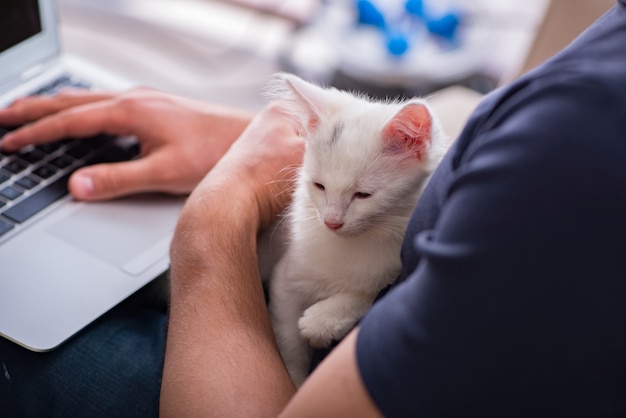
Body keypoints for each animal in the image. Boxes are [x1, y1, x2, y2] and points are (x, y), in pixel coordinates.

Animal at [260, 73, 446, 386]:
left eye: (363, 195)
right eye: (319, 186)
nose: (331, 221)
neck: (361, 239)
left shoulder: (393, 267)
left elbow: (371, 293)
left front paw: (322, 321)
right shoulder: (286, 279)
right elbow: (289, 341)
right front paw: (295, 379)